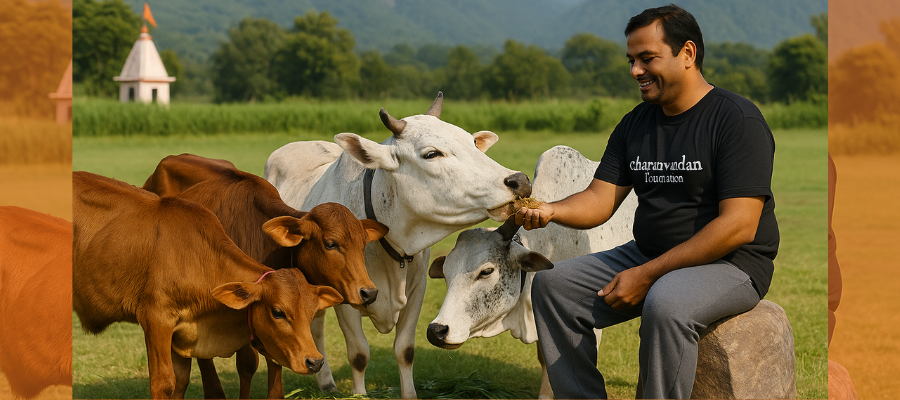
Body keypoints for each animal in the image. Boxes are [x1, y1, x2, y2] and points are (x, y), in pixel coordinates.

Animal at [72, 171, 345, 399]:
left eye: (311, 313)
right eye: (278, 312)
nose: (314, 361)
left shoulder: (181, 334)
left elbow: (180, 382)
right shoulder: (156, 320)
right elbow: (164, 383)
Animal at [264, 92, 533, 399]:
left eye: (473, 143)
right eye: (431, 154)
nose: (519, 180)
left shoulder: (417, 291)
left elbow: (405, 350)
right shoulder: (346, 299)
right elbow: (359, 354)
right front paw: (359, 394)